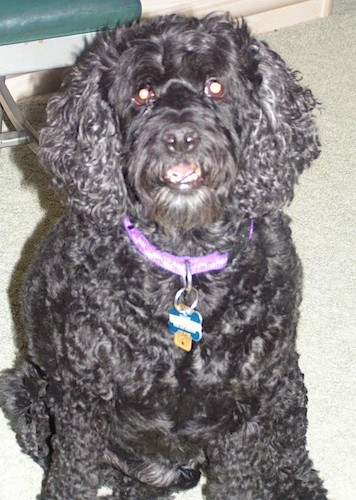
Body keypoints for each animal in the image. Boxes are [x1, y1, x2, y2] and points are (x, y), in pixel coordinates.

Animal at [0, 13, 328, 498]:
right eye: (142, 94)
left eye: (215, 86)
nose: (179, 138)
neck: (185, 263)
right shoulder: (82, 402)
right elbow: (72, 476)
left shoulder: (246, 403)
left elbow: (242, 480)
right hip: (25, 392)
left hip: (284, 386)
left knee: (290, 451)